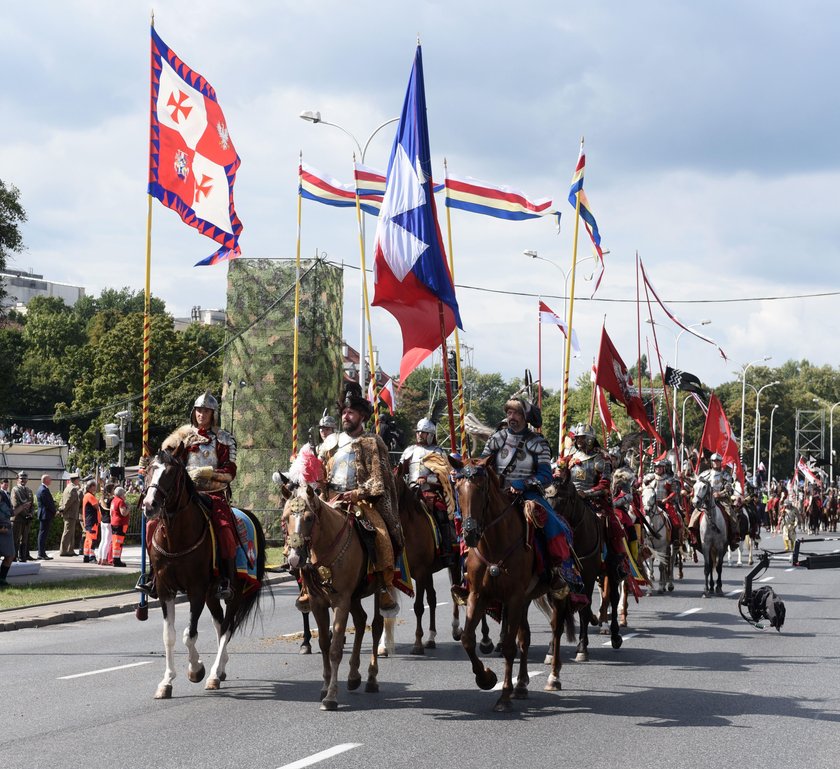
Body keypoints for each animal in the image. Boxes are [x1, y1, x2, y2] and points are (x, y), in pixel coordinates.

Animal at [141, 448, 266, 700]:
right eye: (149, 470)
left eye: (170, 474)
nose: (149, 505)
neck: (175, 537)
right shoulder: (165, 590)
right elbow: (169, 636)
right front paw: (166, 682)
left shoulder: (196, 591)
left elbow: (189, 634)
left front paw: (196, 669)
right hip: (212, 595)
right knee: (219, 625)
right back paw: (221, 668)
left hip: (234, 592)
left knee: (227, 628)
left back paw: (214, 675)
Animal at [282, 484, 388, 712]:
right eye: (285, 518)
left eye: (309, 518)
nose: (294, 558)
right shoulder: (318, 603)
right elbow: (324, 643)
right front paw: (324, 687)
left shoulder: (341, 602)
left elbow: (335, 649)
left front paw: (331, 697)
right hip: (354, 598)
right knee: (361, 621)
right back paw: (353, 676)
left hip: (376, 590)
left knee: (376, 626)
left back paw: (371, 679)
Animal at [452, 456, 576, 712]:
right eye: (458, 488)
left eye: (482, 488)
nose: (469, 533)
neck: (495, 543)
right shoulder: (479, 595)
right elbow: (468, 639)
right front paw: (487, 678)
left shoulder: (514, 597)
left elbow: (509, 647)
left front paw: (504, 696)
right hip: (526, 600)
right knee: (524, 637)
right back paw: (521, 685)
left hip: (555, 595)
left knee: (556, 629)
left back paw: (553, 677)